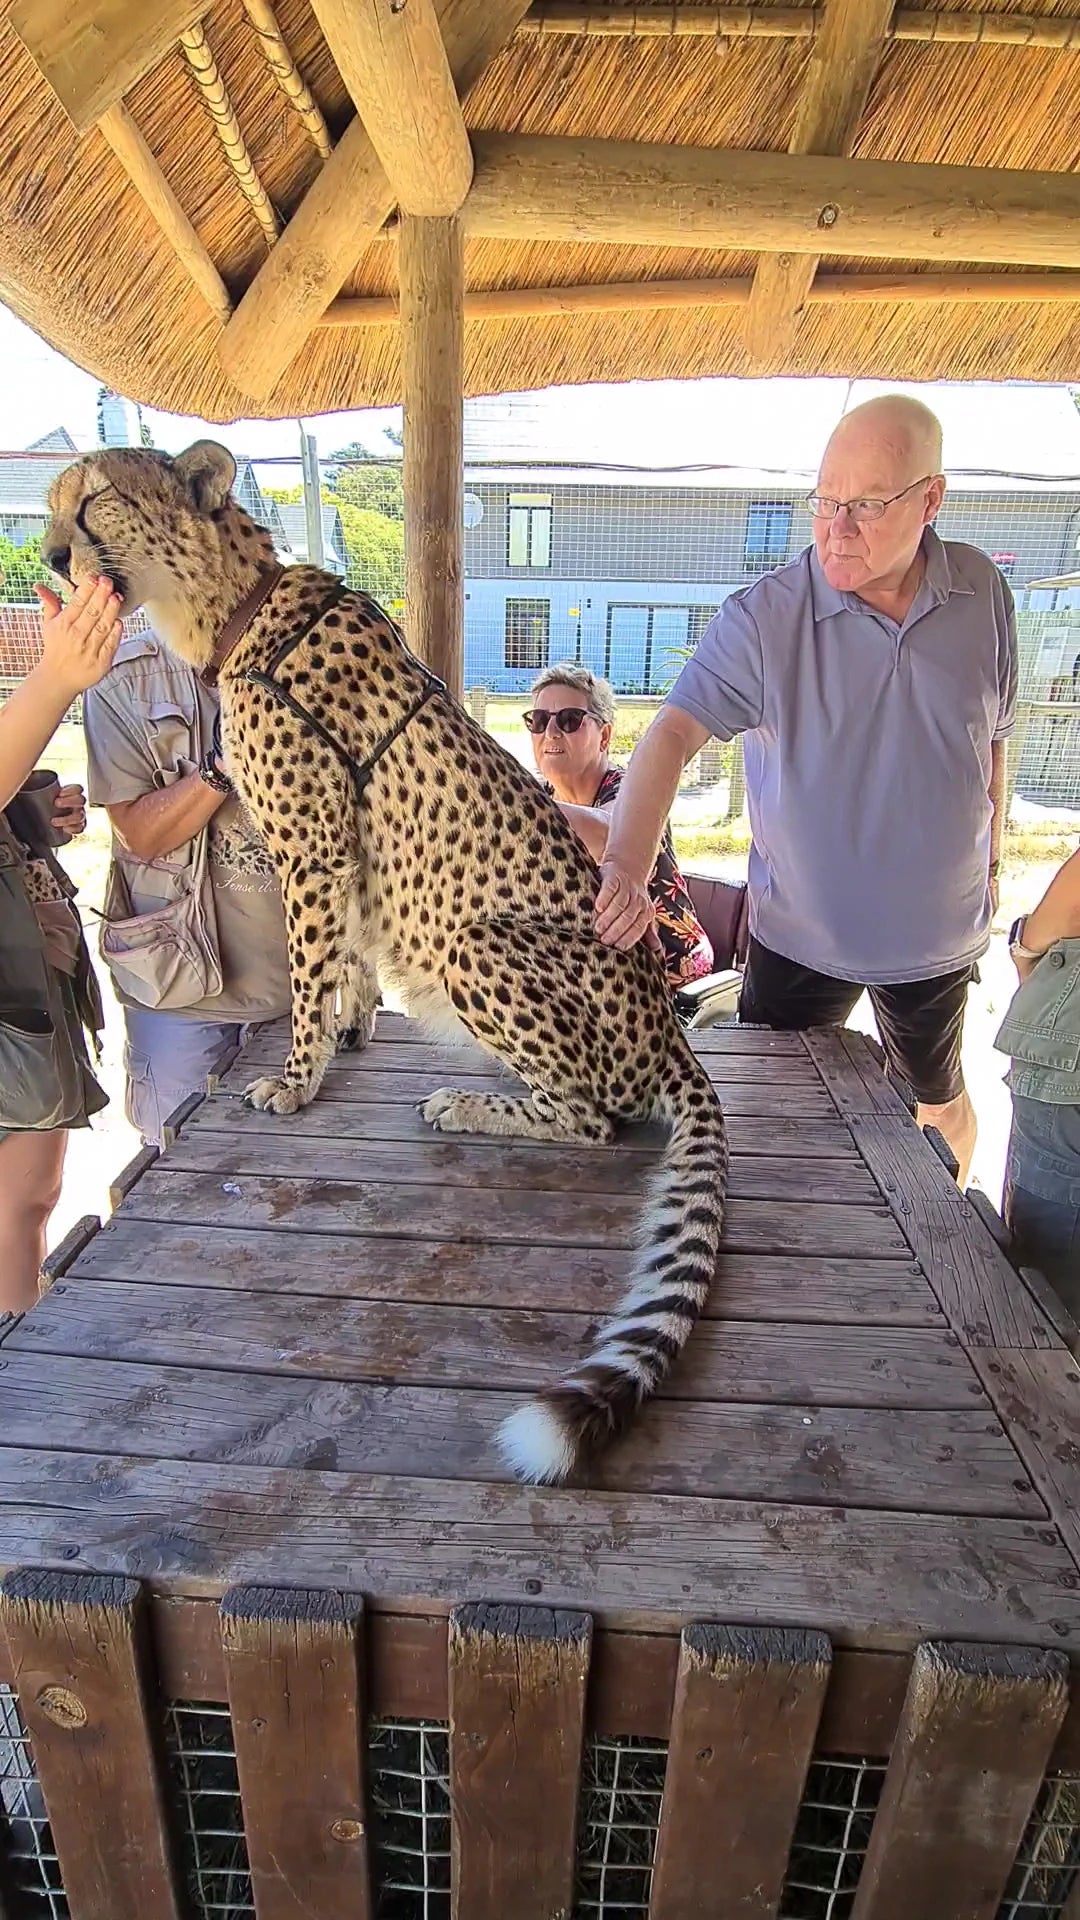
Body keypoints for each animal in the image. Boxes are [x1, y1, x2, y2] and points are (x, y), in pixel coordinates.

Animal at [43, 440, 730, 1486]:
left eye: (95, 502)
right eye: (52, 504)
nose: (44, 557)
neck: (231, 604)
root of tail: (669, 1027)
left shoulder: (315, 848)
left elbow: (307, 967)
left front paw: (295, 1079)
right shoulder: (343, 863)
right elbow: (346, 957)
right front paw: (353, 1028)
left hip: (478, 946)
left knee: (595, 1118)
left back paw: (468, 1105)